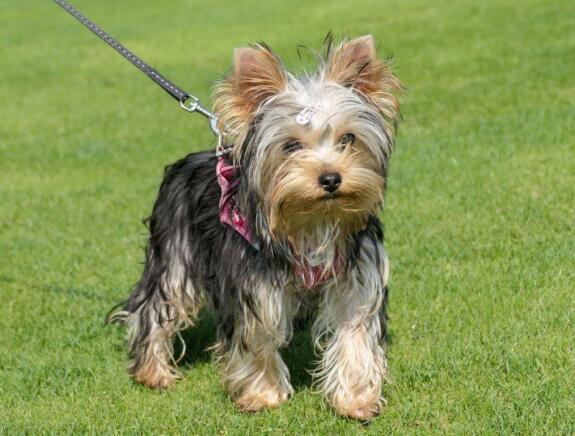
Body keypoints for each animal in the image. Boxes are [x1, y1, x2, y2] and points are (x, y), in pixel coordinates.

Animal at [109, 34, 401, 420]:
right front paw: (263, 395)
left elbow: (354, 331)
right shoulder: (252, 279)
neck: (312, 220)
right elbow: (257, 331)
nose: (330, 178)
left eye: (348, 139)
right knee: (157, 302)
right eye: (290, 145)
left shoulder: (356, 273)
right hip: (174, 246)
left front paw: (355, 400)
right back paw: (152, 372)